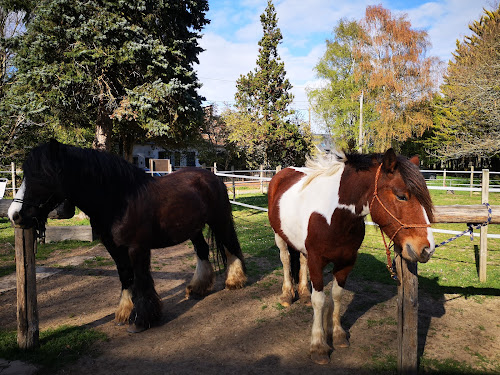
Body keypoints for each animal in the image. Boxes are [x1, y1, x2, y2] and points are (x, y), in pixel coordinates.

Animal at [8, 140, 247, 334]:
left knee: (231, 246)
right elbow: (126, 277)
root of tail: (211, 176)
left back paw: (235, 280)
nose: (14, 215)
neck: (119, 201)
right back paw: (197, 288)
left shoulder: (136, 248)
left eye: (42, 176)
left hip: (220, 220)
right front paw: (124, 313)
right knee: (202, 251)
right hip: (193, 229)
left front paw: (141, 320)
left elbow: (140, 280)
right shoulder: (114, 248)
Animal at [268, 149, 436, 364]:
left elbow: (337, 295)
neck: (333, 217)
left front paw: (338, 334)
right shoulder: (317, 261)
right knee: (286, 260)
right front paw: (318, 346)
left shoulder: (346, 262)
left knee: (302, 263)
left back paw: (304, 293)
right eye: (401, 196)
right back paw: (287, 295)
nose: (426, 249)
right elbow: (319, 300)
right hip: (279, 236)